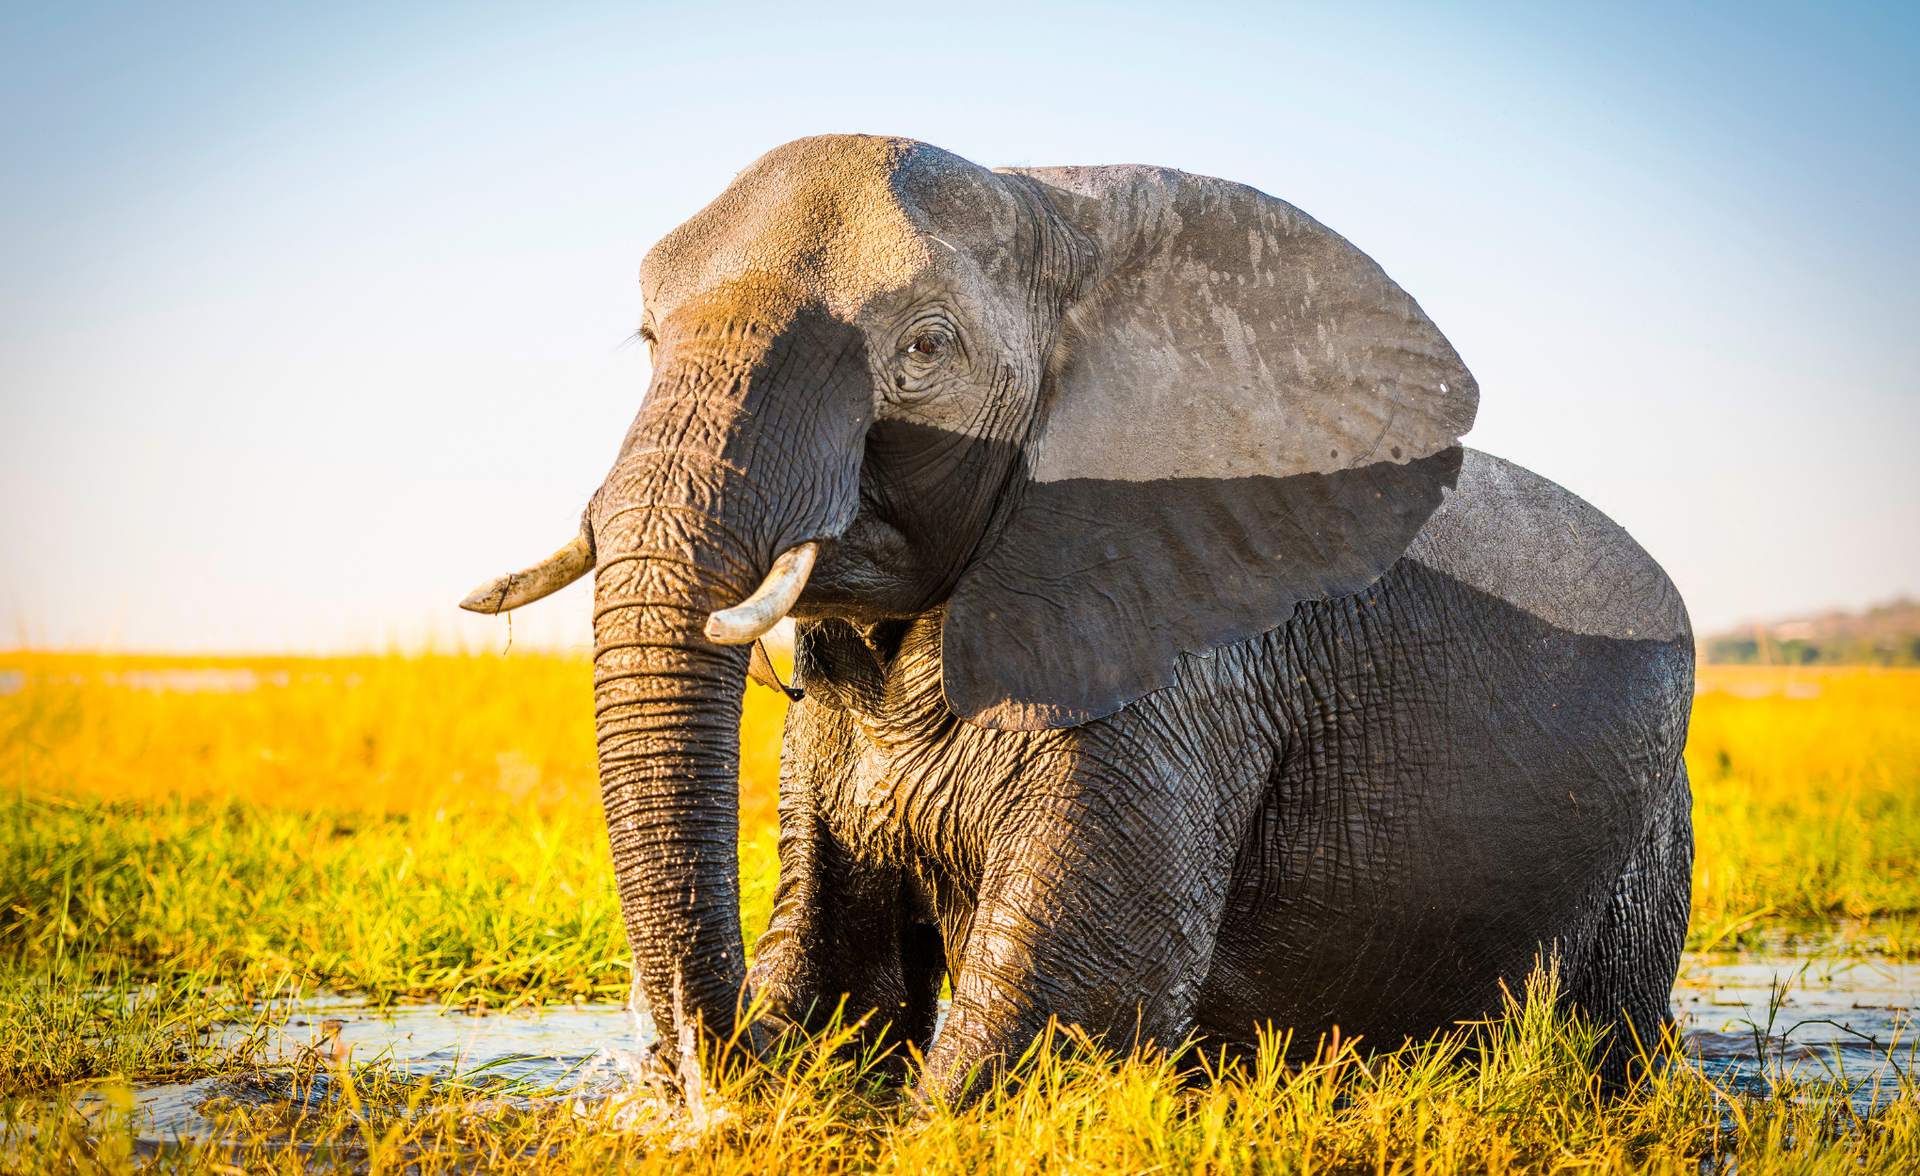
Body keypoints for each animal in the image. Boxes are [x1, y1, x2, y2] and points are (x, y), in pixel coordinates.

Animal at [462, 135, 1694, 1102]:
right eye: (646, 339)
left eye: (925, 348)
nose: (695, 1074)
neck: (1051, 210)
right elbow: (832, 969)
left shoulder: (1185, 664)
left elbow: (1069, 1001)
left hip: (1646, 851)